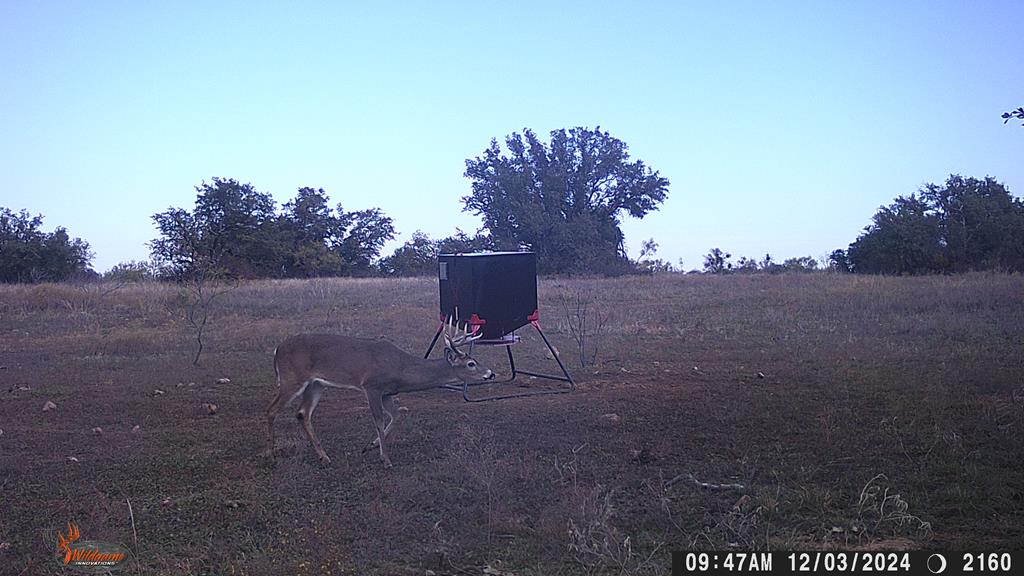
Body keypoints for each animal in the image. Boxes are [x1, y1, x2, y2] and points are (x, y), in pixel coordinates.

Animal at [262, 317, 489, 467]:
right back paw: (272, 455)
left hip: (316, 384)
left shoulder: (388, 392)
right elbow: (379, 420)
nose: (490, 373)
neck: (401, 368)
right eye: (471, 363)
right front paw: (385, 459)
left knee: (302, 413)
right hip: (292, 378)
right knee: (271, 410)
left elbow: (397, 415)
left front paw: (369, 446)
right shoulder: (372, 386)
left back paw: (324, 456)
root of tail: (276, 350)